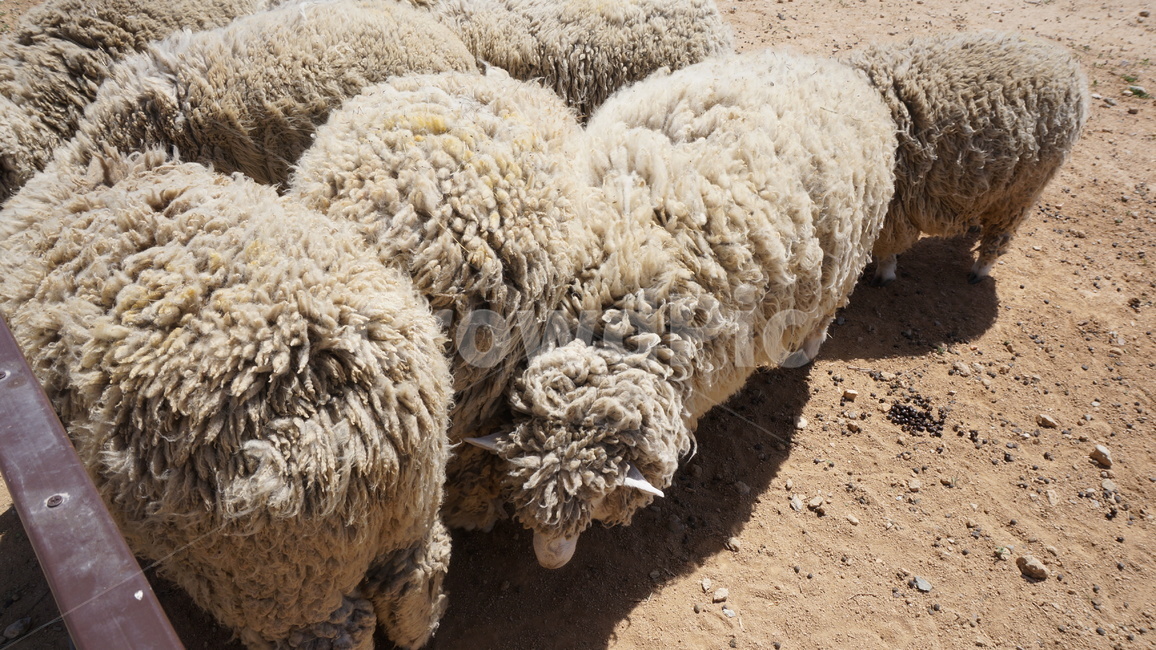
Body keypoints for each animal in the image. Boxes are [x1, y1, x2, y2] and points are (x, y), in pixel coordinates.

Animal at [468, 50, 898, 567]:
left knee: (825, 313)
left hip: (846, 260)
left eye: (595, 501)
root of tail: (833, 67)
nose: (551, 560)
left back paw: (805, 348)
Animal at [845, 31, 1090, 285]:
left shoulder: (890, 215)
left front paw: (885, 274)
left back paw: (980, 269)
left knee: (998, 235)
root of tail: (1064, 58)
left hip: (1022, 190)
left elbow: (887, 250)